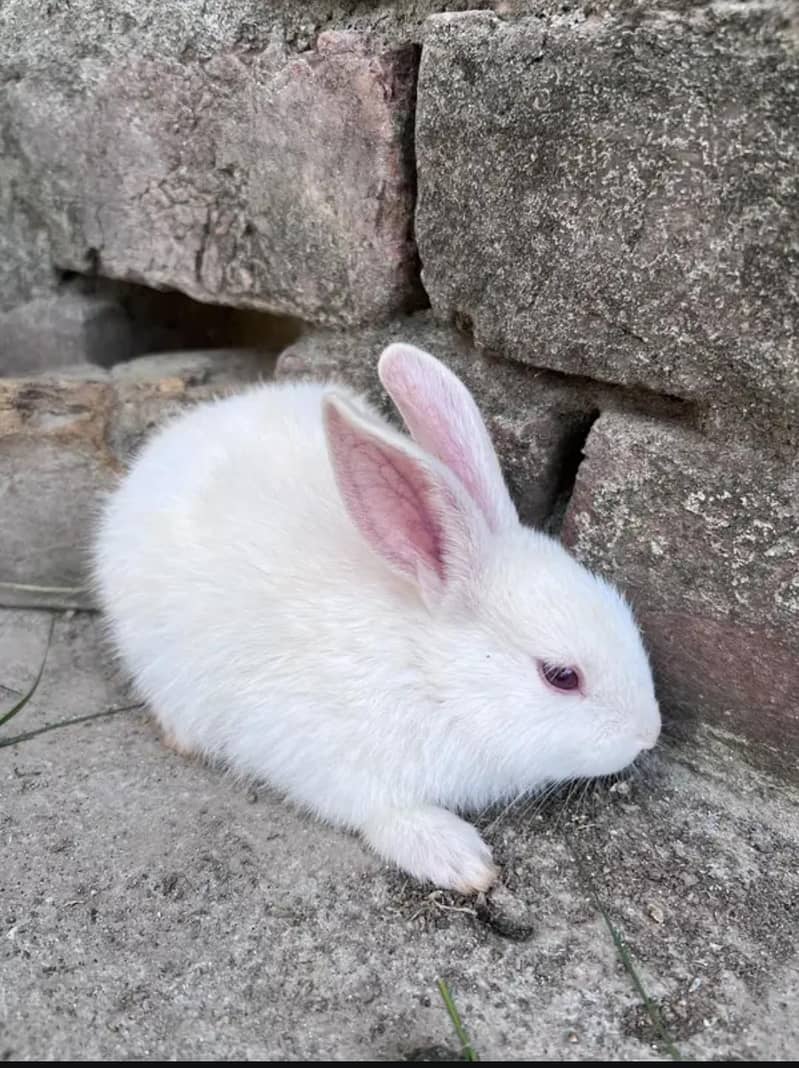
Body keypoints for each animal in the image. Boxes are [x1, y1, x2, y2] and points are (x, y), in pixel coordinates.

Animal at [93, 342, 661, 893]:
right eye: (561, 676)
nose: (648, 735)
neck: (427, 672)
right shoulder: (320, 753)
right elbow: (383, 811)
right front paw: (459, 859)